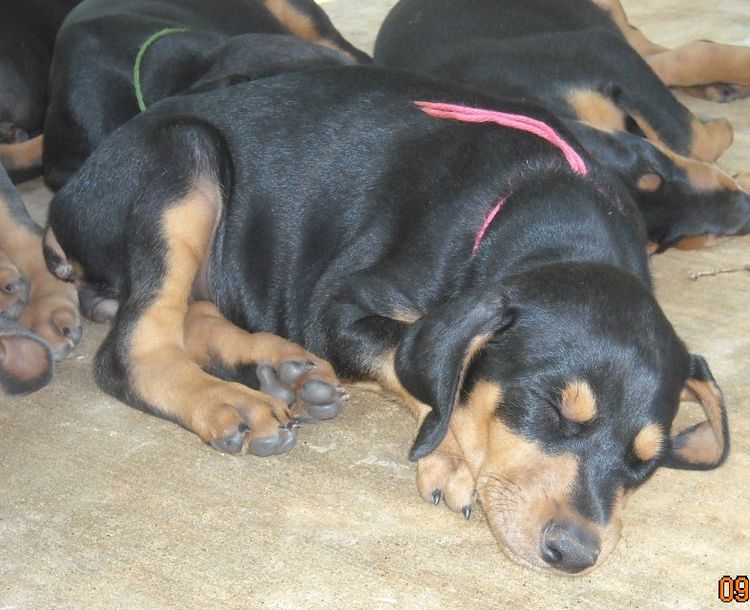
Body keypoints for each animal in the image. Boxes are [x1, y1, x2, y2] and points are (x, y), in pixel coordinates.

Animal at [44, 69, 732, 572]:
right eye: (551, 411)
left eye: (644, 462)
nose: (574, 555)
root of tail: (67, 193)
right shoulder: (337, 304)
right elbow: (420, 367)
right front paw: (451, 456)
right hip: (184, 160)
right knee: (132, 347)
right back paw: (229, 401)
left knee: (193, 311)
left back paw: (281, 368)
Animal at [376, 0, 750, 249]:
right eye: (663, 241)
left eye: (652, 168)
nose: (745, 212)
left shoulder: (602, 50)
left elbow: (688, 133)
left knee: (679, 53)